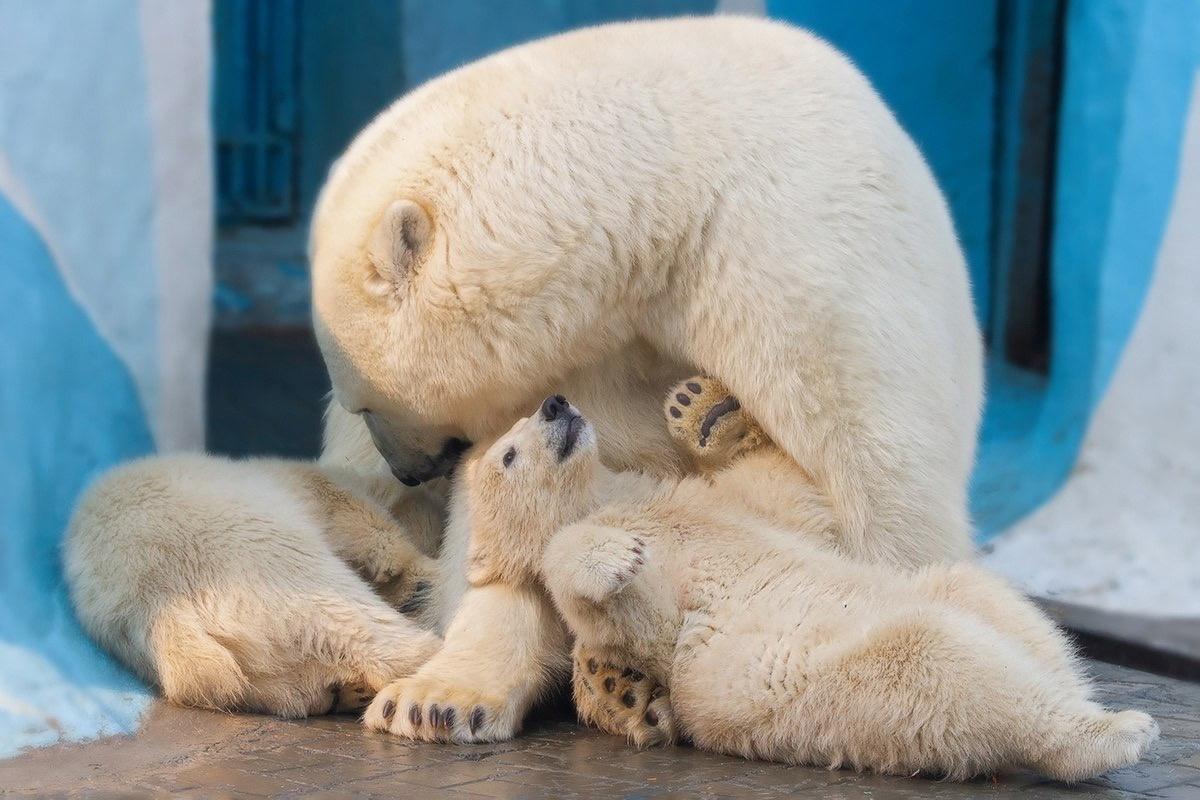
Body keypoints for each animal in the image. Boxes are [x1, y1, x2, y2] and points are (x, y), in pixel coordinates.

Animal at [314, 17, 979, 743]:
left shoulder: (801, 267)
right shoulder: (576, 356)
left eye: (368, 402)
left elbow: (872, 485)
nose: (409, 471)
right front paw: (443, 692)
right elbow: (520, 505)